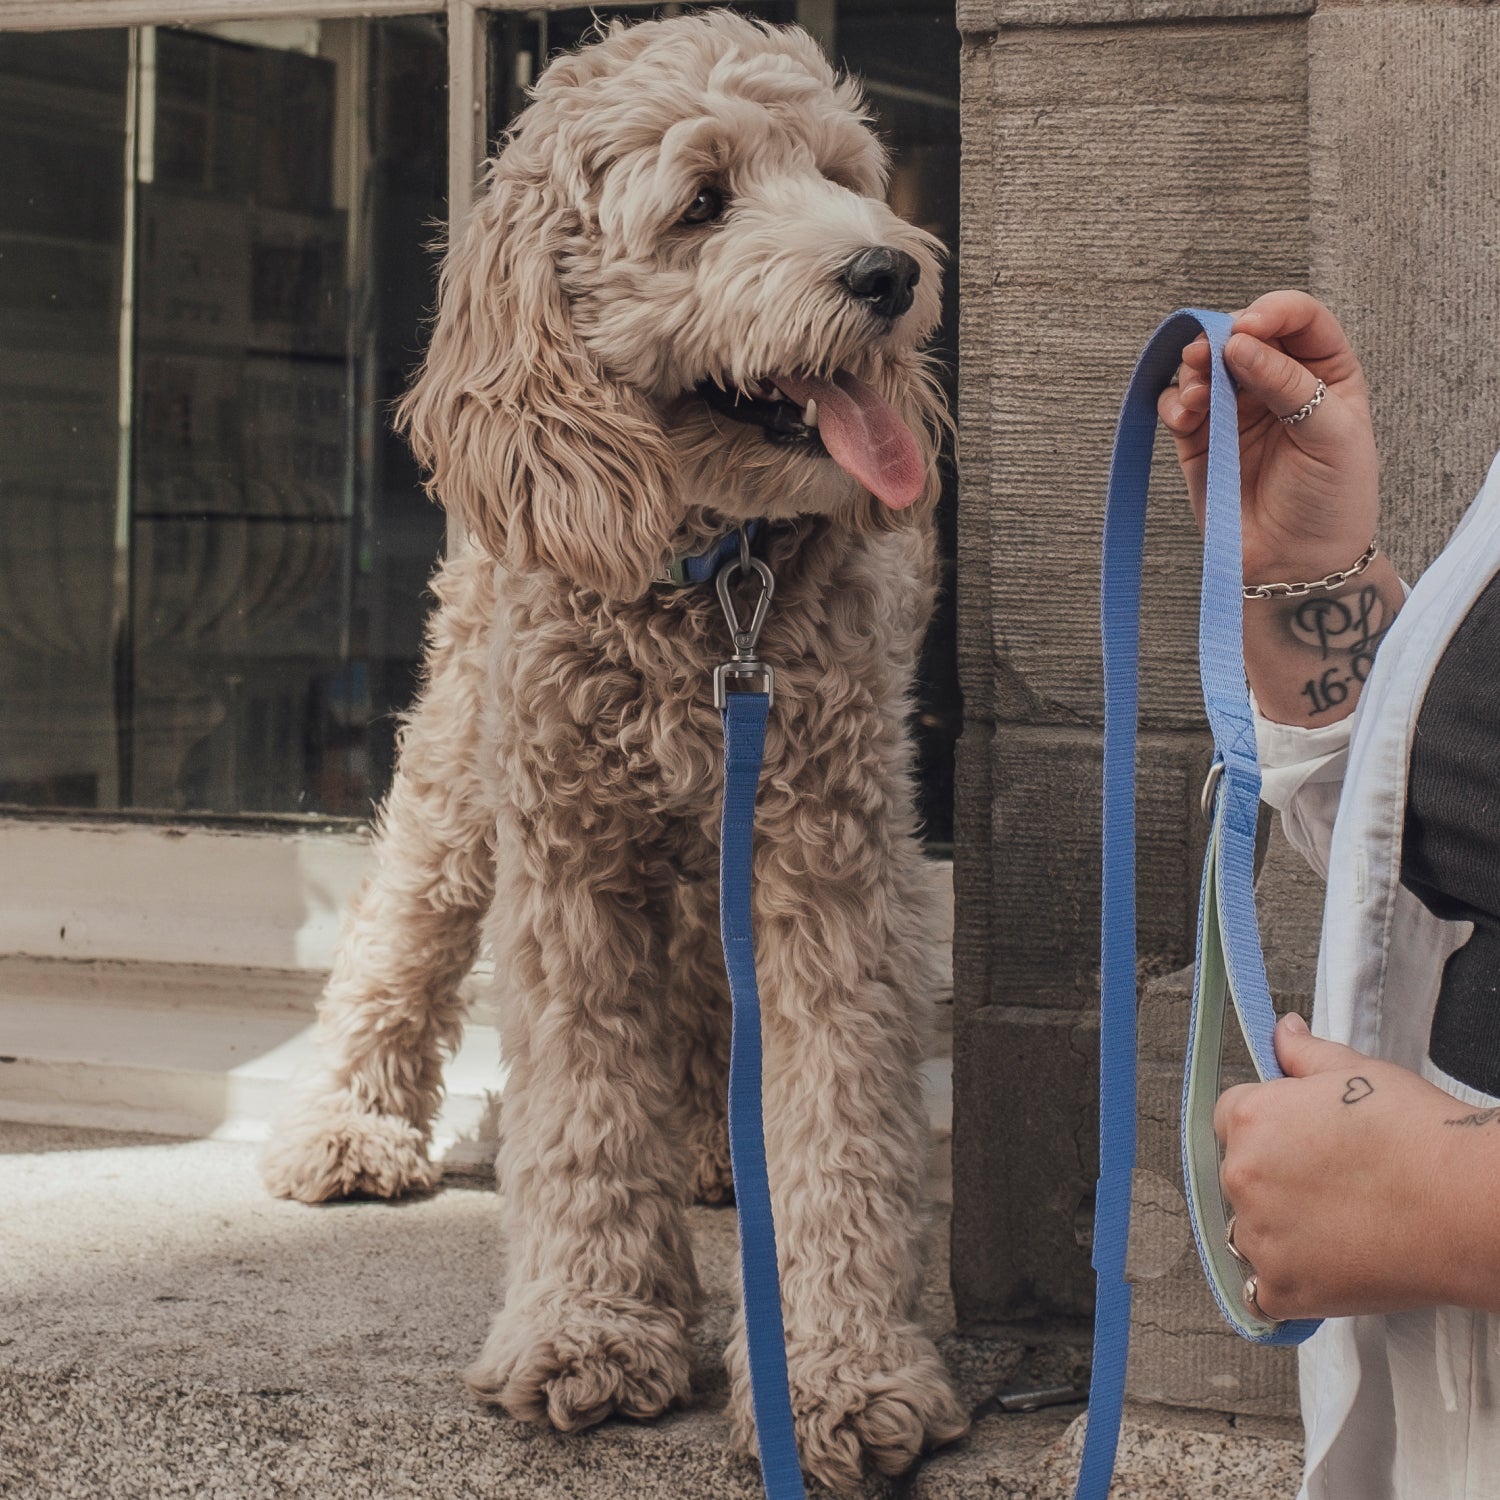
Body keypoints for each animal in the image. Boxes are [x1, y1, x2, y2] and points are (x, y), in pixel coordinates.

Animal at [262, 11, 966, 1488]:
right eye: (701, 203)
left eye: (841, 175)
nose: (888, 270)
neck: (709, 575)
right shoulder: (568, 862)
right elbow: (584, 1107)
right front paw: (589, 1327)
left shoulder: (829, 864)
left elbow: (836, 1114)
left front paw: (838, 1373)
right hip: (463, 754)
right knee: (401, 921)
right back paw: (349, 1120)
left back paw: (715, 1147)